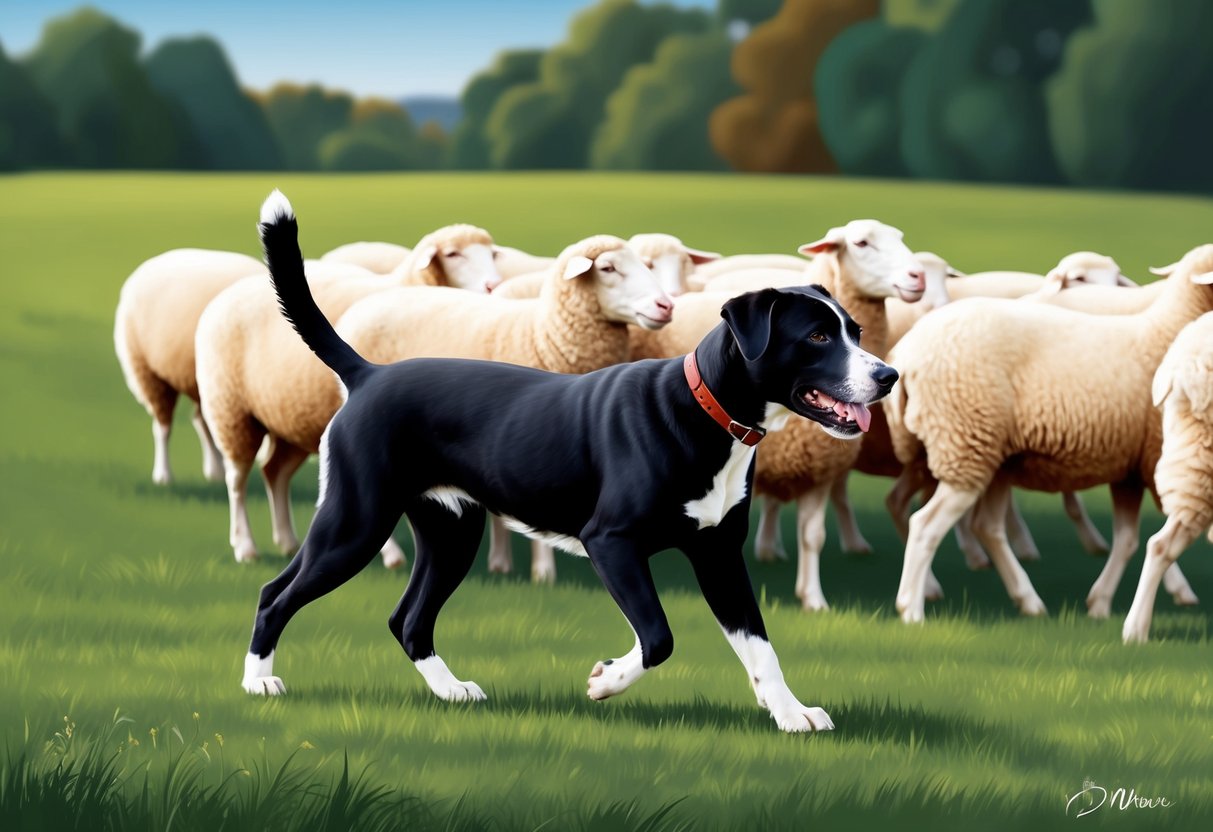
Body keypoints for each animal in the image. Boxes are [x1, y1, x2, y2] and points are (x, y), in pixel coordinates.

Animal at [198, 224, 502, 570]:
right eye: (452, 254)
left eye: (492, 253)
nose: (493, 285)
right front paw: (392, 555)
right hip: (232, 412)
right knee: (237, 481)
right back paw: (245, 546)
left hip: (290, 419)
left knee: (275, 472)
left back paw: (288, 541)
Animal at [337, 236, 674, 587]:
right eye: (608, 268)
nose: (666, 305)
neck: (542, 334)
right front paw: (543, 572)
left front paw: (505, 563)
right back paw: (392, 556)